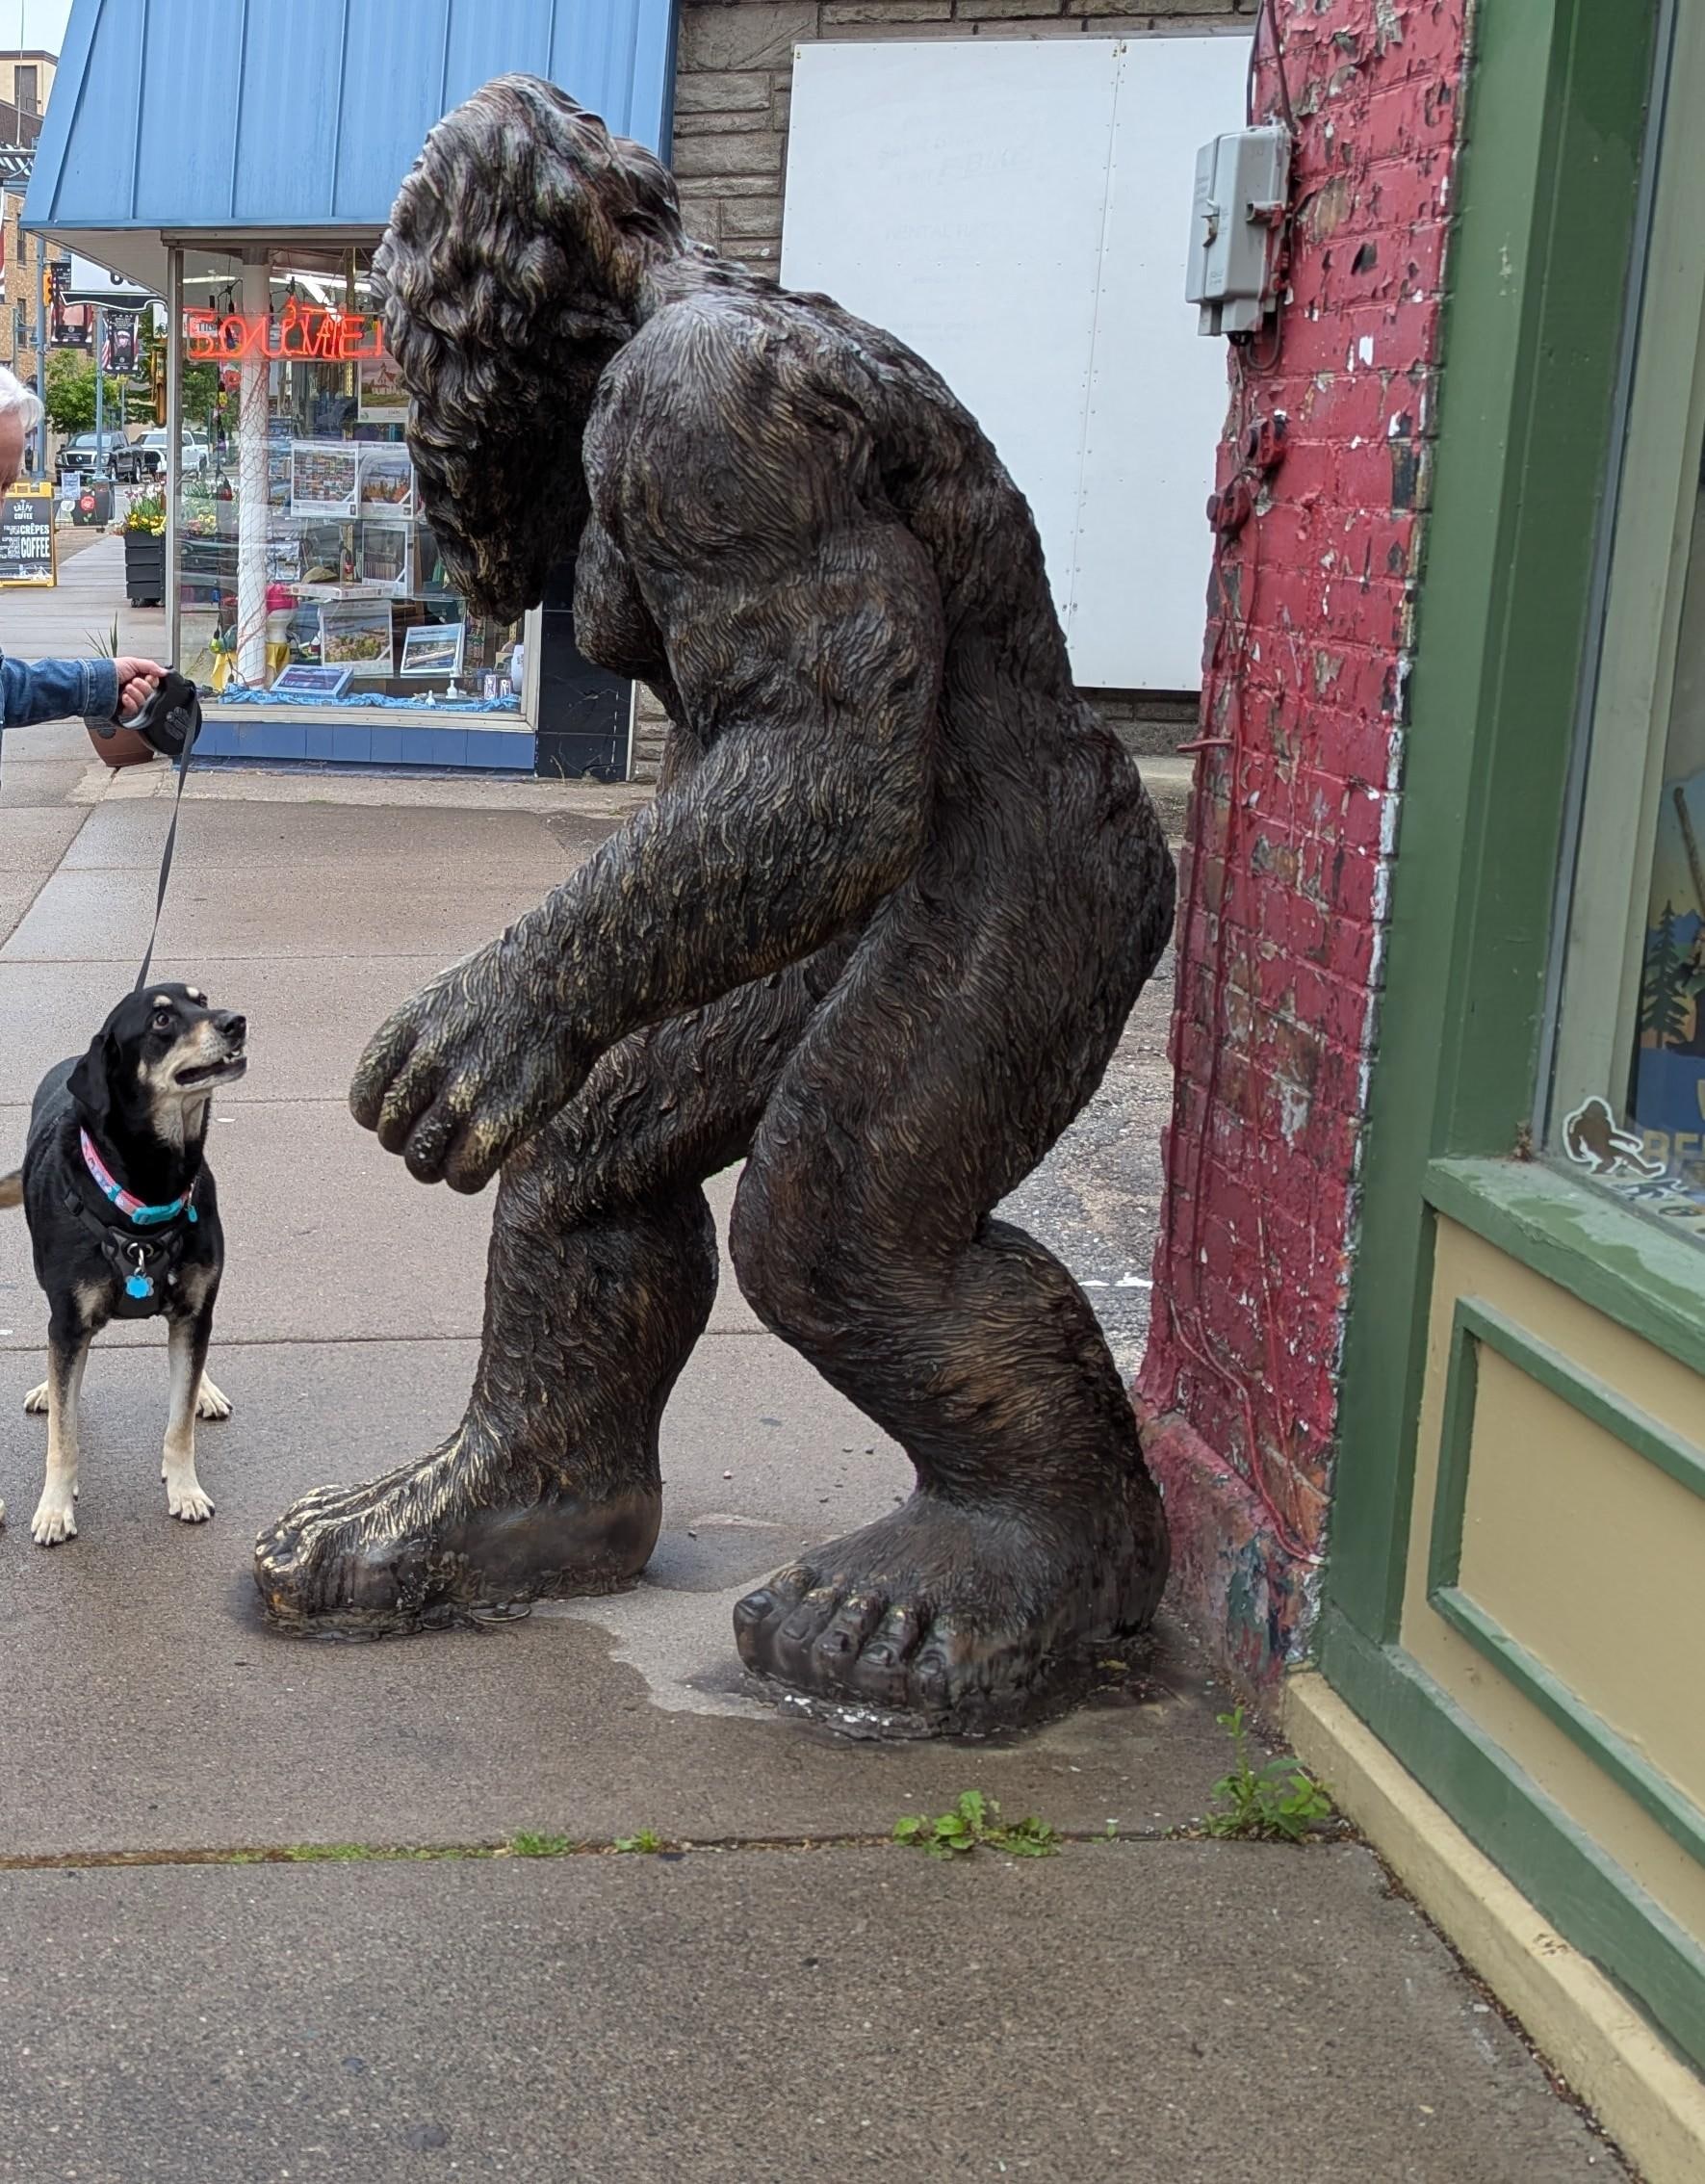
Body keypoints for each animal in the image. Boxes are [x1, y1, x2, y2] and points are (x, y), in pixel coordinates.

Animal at [0, 984, 246, 1544]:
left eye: (204, 1000)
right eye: (160, 1019)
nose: (237, 1022)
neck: (149, 1187)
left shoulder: (193, 1310)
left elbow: (179, 1422)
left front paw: (185, 1489)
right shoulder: (69, 1322)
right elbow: (63, 1434)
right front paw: (54, 1507)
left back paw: (205, 1389)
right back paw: (49, 1388)